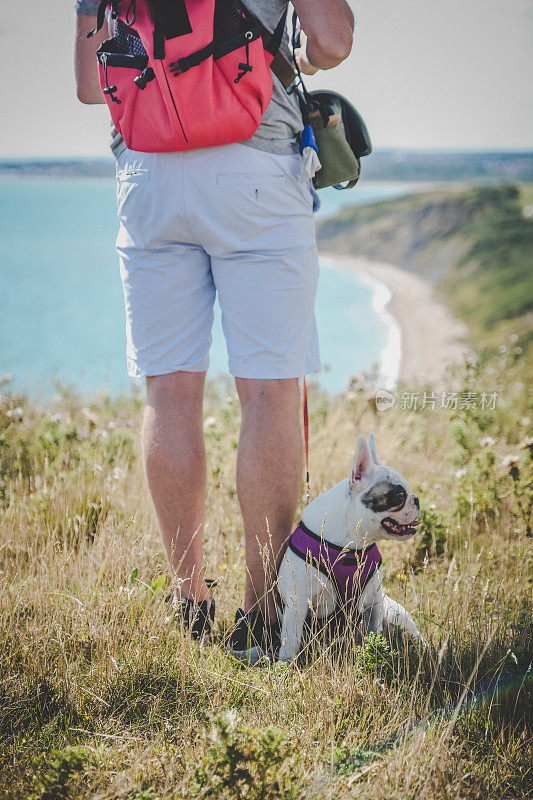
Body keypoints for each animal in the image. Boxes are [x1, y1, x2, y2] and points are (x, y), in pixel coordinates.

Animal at [276, 434, 422, 660]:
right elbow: (291, 641)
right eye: (399, 496)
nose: (416, 500)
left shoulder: (374, 601)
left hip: (394, 612)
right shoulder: (297, 604)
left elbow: (374, 631)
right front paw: (285, 664)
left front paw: (375, 650)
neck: (351, 544)